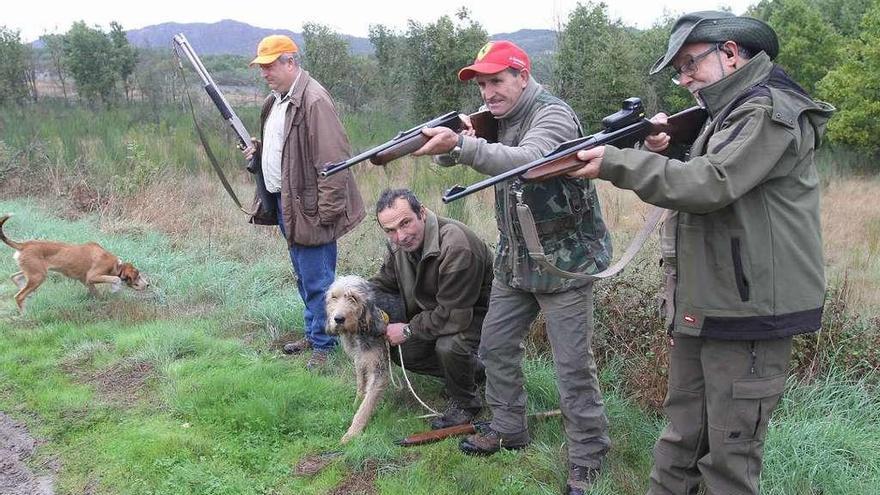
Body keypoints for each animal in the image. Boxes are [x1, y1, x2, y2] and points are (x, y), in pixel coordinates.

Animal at [0, 214, 150, 314]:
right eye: (138, 276)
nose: (148, 284)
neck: (116, 265)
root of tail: (24, 245)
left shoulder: (86, 281)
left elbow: (96, 293)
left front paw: (102, 303)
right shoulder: (93, 276)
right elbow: (116, 279)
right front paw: (115, 289)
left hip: (34, 272)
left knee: (15, 277)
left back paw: (28, 295)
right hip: (38, 276)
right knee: (19, 296)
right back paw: (25, 314)